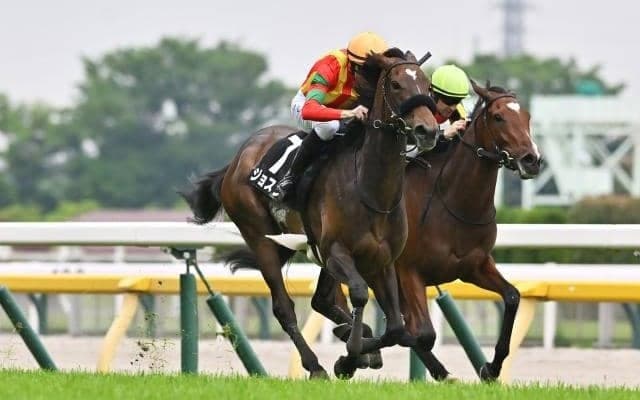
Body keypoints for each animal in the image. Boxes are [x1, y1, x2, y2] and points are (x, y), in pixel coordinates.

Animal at [181, 48, 439, 378]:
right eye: (395, 85)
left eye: (427, 85)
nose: (427, 130)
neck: (370, 189)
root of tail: (239, 157)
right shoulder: (336, 252)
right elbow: (359, 294)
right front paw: (350, 356)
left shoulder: (382, 260)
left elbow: (395, 327)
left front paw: (358, 352)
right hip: (260, 237)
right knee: (283, 307)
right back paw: (315, 364)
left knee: (322, 300)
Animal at [394, 80, 542, 382]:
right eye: (498, 117)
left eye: (527, 116)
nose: (532, 160)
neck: (453, 202)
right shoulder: (408, 270)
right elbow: (422, 332)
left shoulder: (474, 266)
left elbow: (512, 296)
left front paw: (491, 367)